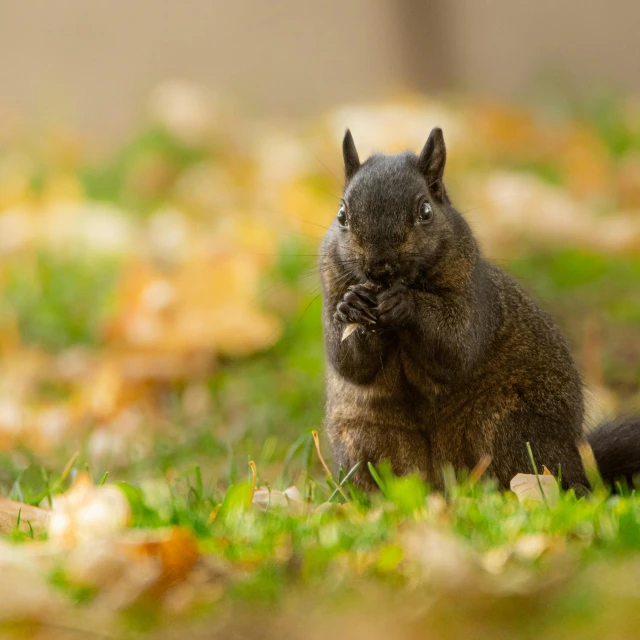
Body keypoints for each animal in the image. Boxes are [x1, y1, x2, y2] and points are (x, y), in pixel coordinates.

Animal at [320, 127, 640, 492]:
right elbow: (349, 363)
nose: (378, 267)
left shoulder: (474, 297)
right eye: (342, 215)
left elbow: (456, 346)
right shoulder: (331, 286)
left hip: (508, 426)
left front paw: (405, 303)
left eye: (425, 211)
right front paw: (352, 306)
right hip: (365, 439)